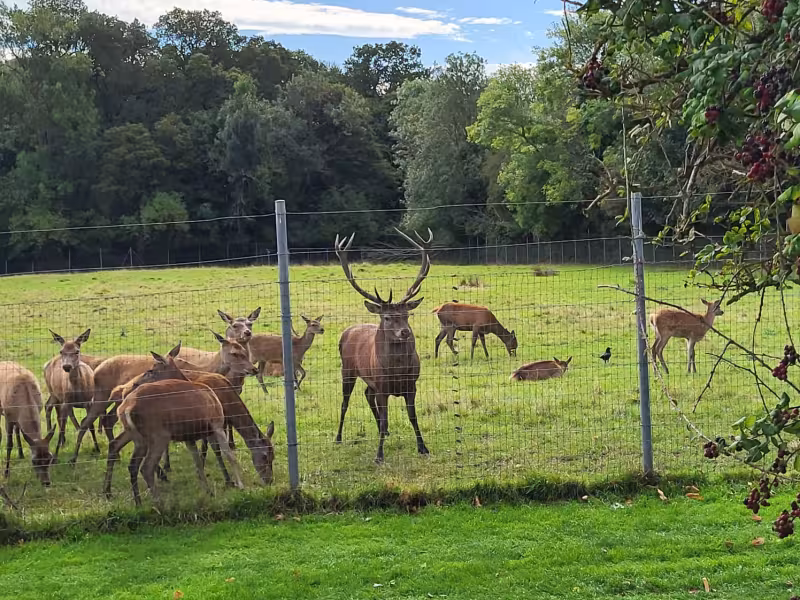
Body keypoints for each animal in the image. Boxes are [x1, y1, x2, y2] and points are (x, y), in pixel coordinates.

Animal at [42, 329, 97, 461]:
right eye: (61, 351)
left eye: (77, 351)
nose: (67, 366)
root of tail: (46, 364)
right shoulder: (67, 401)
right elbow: (62, 426)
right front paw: (56, 455)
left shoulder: (88, 401)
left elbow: (91, 425)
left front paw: (96, 448)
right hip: (54, 392)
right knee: (52, 409)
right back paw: (54, 437)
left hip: (58, 396)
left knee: (56, 410)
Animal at [68, 333, 256, 465]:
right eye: (234, 353)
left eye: (245, 351)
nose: (253, 369)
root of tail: (96, 369)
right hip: (101, 395)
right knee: (86, 421)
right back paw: (74, 459)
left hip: (115, 402)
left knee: (107, 420)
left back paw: (116, 456)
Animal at [102, 354, 245, 506]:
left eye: (151, 370)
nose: (134, 384)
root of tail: (125, 408)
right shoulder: (216, 423)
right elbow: (229, 455)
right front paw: (240, 485)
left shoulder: (189, 437)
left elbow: (198, 463)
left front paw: (208, 491)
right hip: (158, 435)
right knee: (146, 467)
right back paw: (159, 503)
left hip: (137, 437)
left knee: (127, 458)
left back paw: (131, 500)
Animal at [334, 228, 432, 464]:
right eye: (387, 317)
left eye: (406, 315)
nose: (405, 332)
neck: (397, 371)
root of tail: (347, 331)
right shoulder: (382, 387)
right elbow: (387, 417)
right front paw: (379, 456)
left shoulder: (411, 385)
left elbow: (413, 417)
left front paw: (423, 448)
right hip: (347, 370)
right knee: (344, 403)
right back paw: (338, 437)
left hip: (369, 379)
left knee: (366, 394)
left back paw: (383, 431)